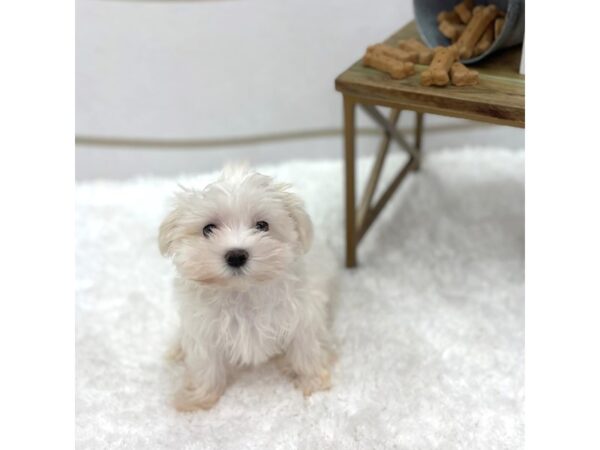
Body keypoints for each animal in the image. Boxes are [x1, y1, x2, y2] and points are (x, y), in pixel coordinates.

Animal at [158, 165, 332, 412]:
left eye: (262, 225)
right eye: (208, 229)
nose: (236, 255)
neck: (243, 292)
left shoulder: (301, 314)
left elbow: (306, 348)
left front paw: (313, 382)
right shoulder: (204, 328)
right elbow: (205, 364)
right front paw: (198, 399)